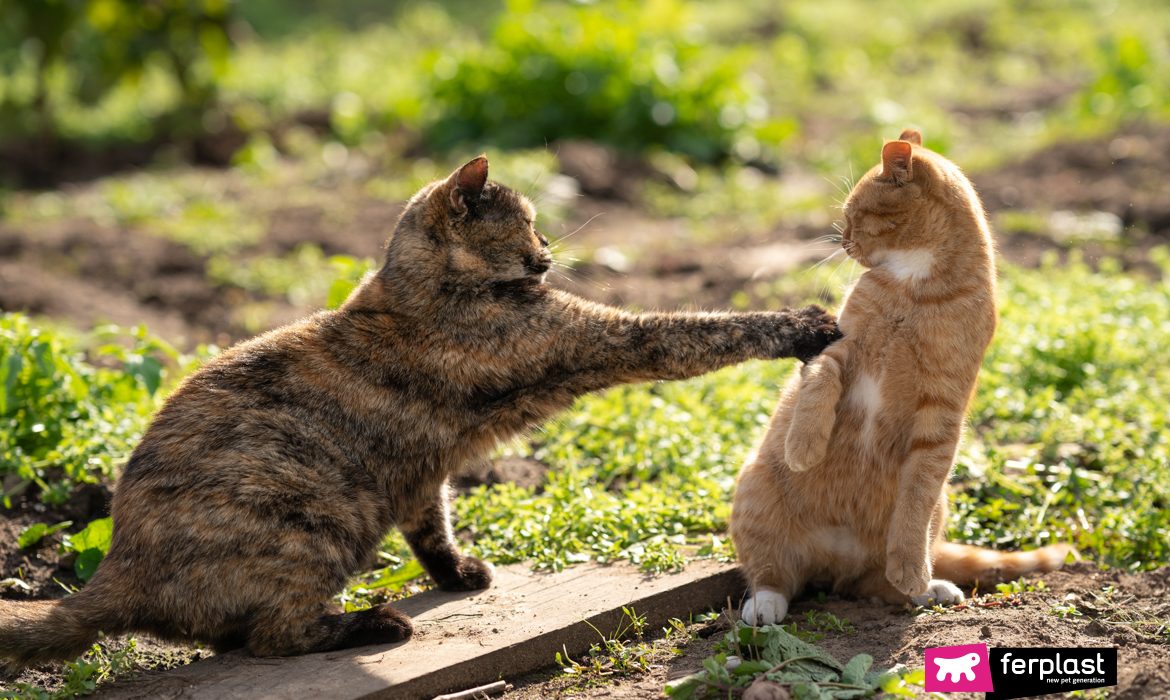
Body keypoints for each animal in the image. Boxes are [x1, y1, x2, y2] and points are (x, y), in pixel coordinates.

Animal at [0, 154, 842, 664]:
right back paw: (375, 624)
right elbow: (705, 330)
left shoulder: (421, 469)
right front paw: (805, 323)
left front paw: (458, 571)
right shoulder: (604, 337)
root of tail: (118, 566)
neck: (416, 288)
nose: (548, 251)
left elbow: (431, 520)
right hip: (312, 524)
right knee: (272, 636)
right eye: (526, 223)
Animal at [734, 130, 1071, 627]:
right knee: (774, 576)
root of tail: (837, 561)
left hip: (933, 511)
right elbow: (817, 387)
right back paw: (765, 605)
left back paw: (928, 587)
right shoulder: (837, 349)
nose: (845, 242)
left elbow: (914, 505)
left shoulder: (940, 413)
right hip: (755, 495)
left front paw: (912, 571)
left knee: (876, 581)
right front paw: (804, 447)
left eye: (854, 215)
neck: (915, 287)